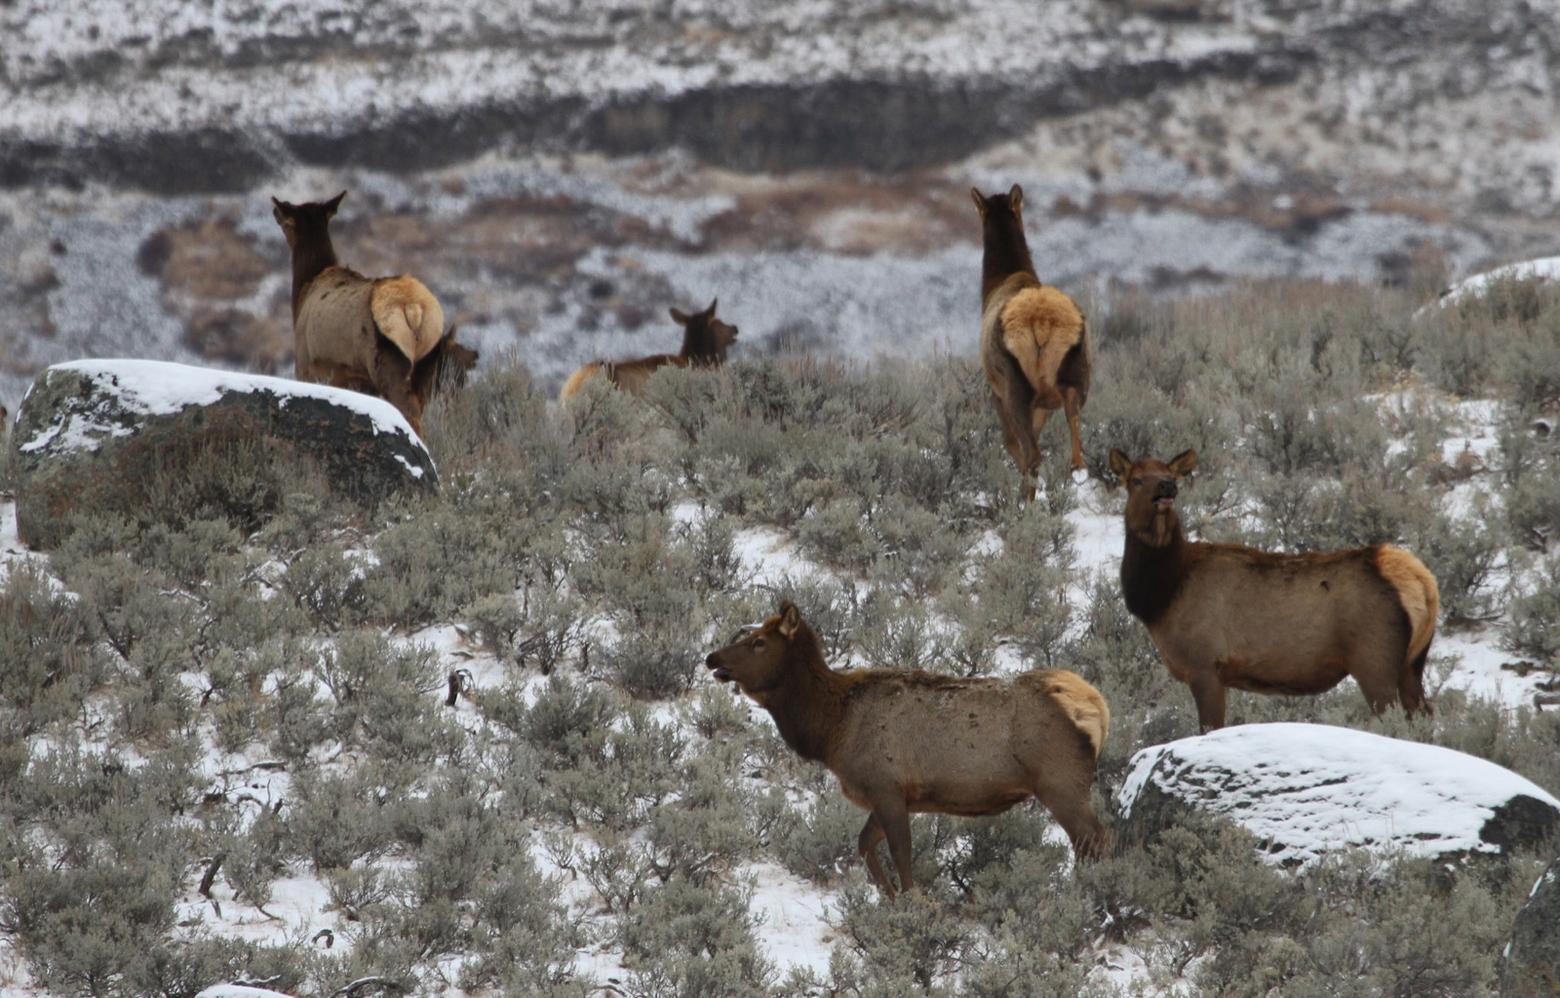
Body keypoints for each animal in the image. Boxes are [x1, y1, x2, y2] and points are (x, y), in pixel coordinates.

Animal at [271, 191, 474, 436]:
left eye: (287, 219)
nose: (275, 211)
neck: (304, 291)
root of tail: (413, 308)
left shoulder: (307, 367)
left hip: (387, 362)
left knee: (411, 415)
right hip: (427, 364)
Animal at [708, 598, 1110, 898]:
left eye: (758, 642)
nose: (712, 658)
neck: (833, 730)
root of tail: (1095, 705)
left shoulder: (886, 785)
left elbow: (901, 852)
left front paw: (913, 901)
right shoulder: (889, 793)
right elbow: (864, 845)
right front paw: (890, 895)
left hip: (1060, 783)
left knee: (1094, 842)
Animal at [967, 182, 1092, 495]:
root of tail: (1041, 323)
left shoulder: (996, 391)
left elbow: (1009, 442)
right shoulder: (1044, 405)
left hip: (1015, 385)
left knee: (1031, 453)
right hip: (1076, 371)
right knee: (1073, 417)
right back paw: (1076, 466)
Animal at [1110, 449, 1435, 732]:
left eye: (1169, 474)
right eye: (1135, 479)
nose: (1167, 486)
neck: (1160, 596)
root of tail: (1422, 580)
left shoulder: (1205, 665)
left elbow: (1209, 728)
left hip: (1375, 658)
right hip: (1413, 663)